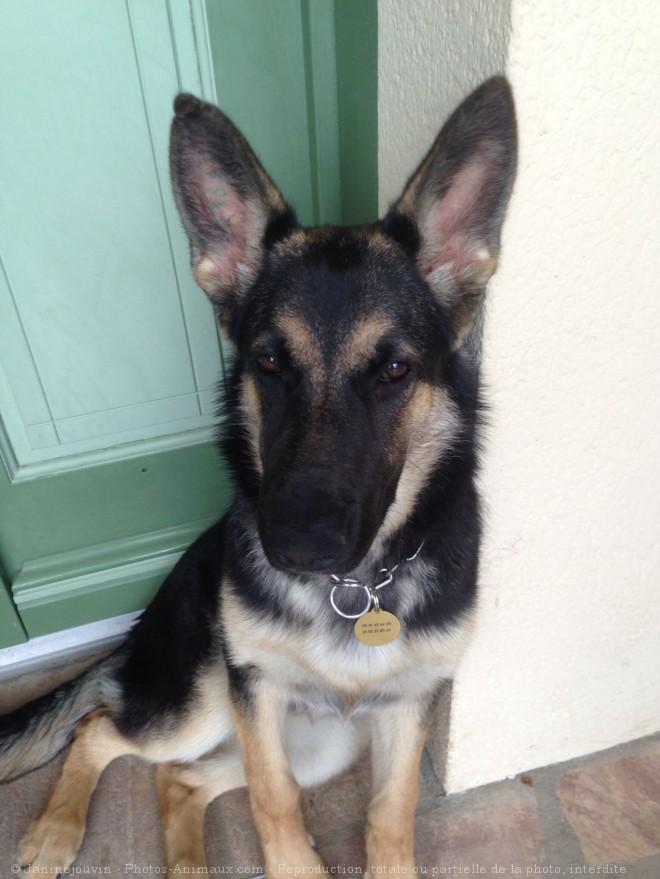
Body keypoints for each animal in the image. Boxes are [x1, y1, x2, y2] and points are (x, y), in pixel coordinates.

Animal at [0, 79, 516, 876]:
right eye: (269, 363)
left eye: (395, 369)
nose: (299, 549)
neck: (354, 589)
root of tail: (139, 634)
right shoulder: (257, 691)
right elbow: (273, 802)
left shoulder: (407, 707)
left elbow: (391, 812)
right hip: (207, 700)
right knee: (103, 728)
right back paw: (56, 829)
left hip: (327, 742)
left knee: (179, 779)